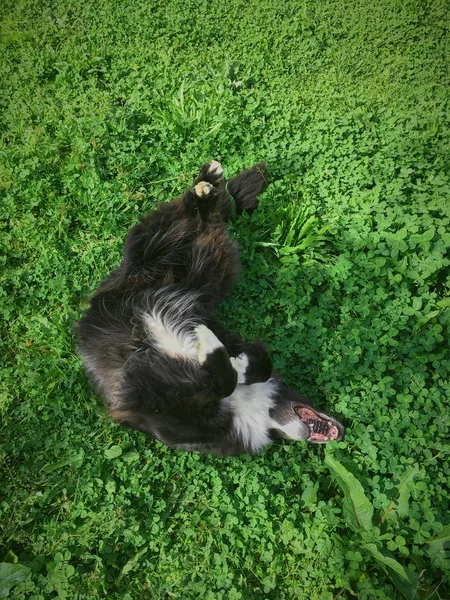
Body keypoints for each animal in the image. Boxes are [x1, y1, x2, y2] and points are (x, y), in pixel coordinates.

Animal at [78, 162, 344, 452]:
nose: (342, 432)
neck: (260, 412)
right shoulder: (156, 404)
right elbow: (228, 379)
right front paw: (216, 350)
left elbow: (256, 364)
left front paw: (234, 361)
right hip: (154, 251)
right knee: (181, 215)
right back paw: (204, 186)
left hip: (210, 270)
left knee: (203, 222)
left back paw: (207, 192)